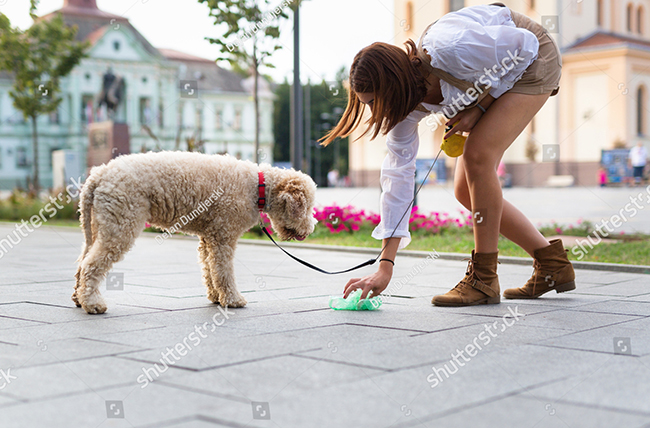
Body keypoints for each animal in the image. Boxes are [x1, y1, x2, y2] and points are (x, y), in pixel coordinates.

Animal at [73, 152, 316, 312]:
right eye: (308, 207)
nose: (311, 229)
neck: (258, 187)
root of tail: (98, 174)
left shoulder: (209, 237)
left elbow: (210, 270)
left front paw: (216, 297)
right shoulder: (223, 236)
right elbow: (223, 271)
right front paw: (233, 299)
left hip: (99, 224)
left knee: (82, 262)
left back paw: (79, 298)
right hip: (120, 224)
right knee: (91, 265)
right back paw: (93, 304)